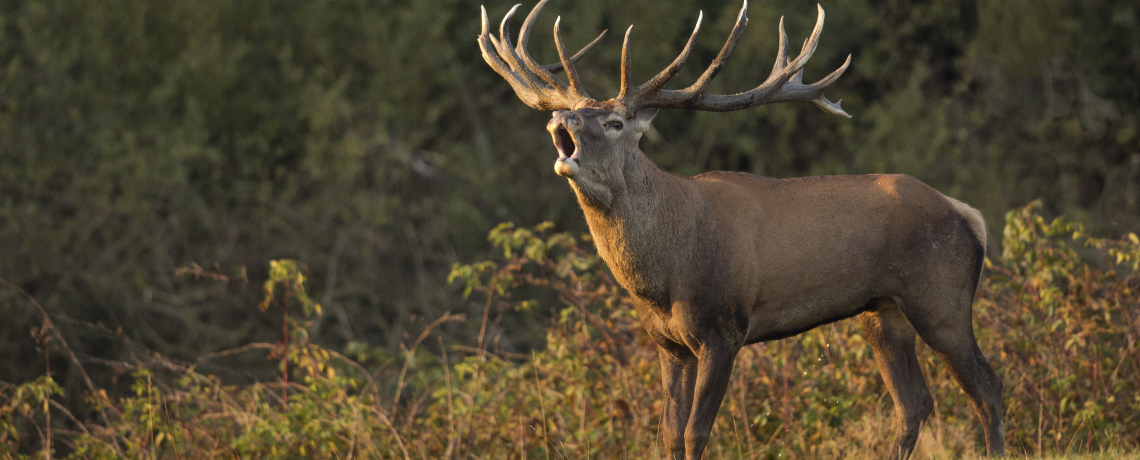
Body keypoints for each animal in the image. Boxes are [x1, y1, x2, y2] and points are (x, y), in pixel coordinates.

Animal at [476, 1, 1003, 457]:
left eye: (615, 122)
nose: (560, 117)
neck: (663, 274)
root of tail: (969, 216)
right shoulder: (667, 342)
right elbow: (668, 432)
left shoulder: (724, 327)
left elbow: (696, 432)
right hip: (882, 312)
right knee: (913, 404)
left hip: (941, 298)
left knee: (988, 388)